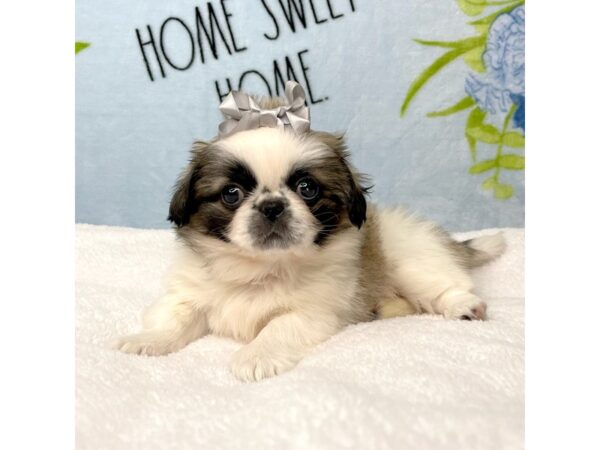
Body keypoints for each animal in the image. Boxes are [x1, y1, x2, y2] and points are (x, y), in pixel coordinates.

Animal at [115, 81, 504, 380]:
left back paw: (464, 306)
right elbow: (174, 319)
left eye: (307, 189)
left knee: (446, 286)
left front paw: (255, 357)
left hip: (409, 259)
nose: (272, 206)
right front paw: (147, 340)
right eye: (232, 194)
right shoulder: (189, 295)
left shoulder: (312, 311)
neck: (260, 270)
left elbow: (276, 328)